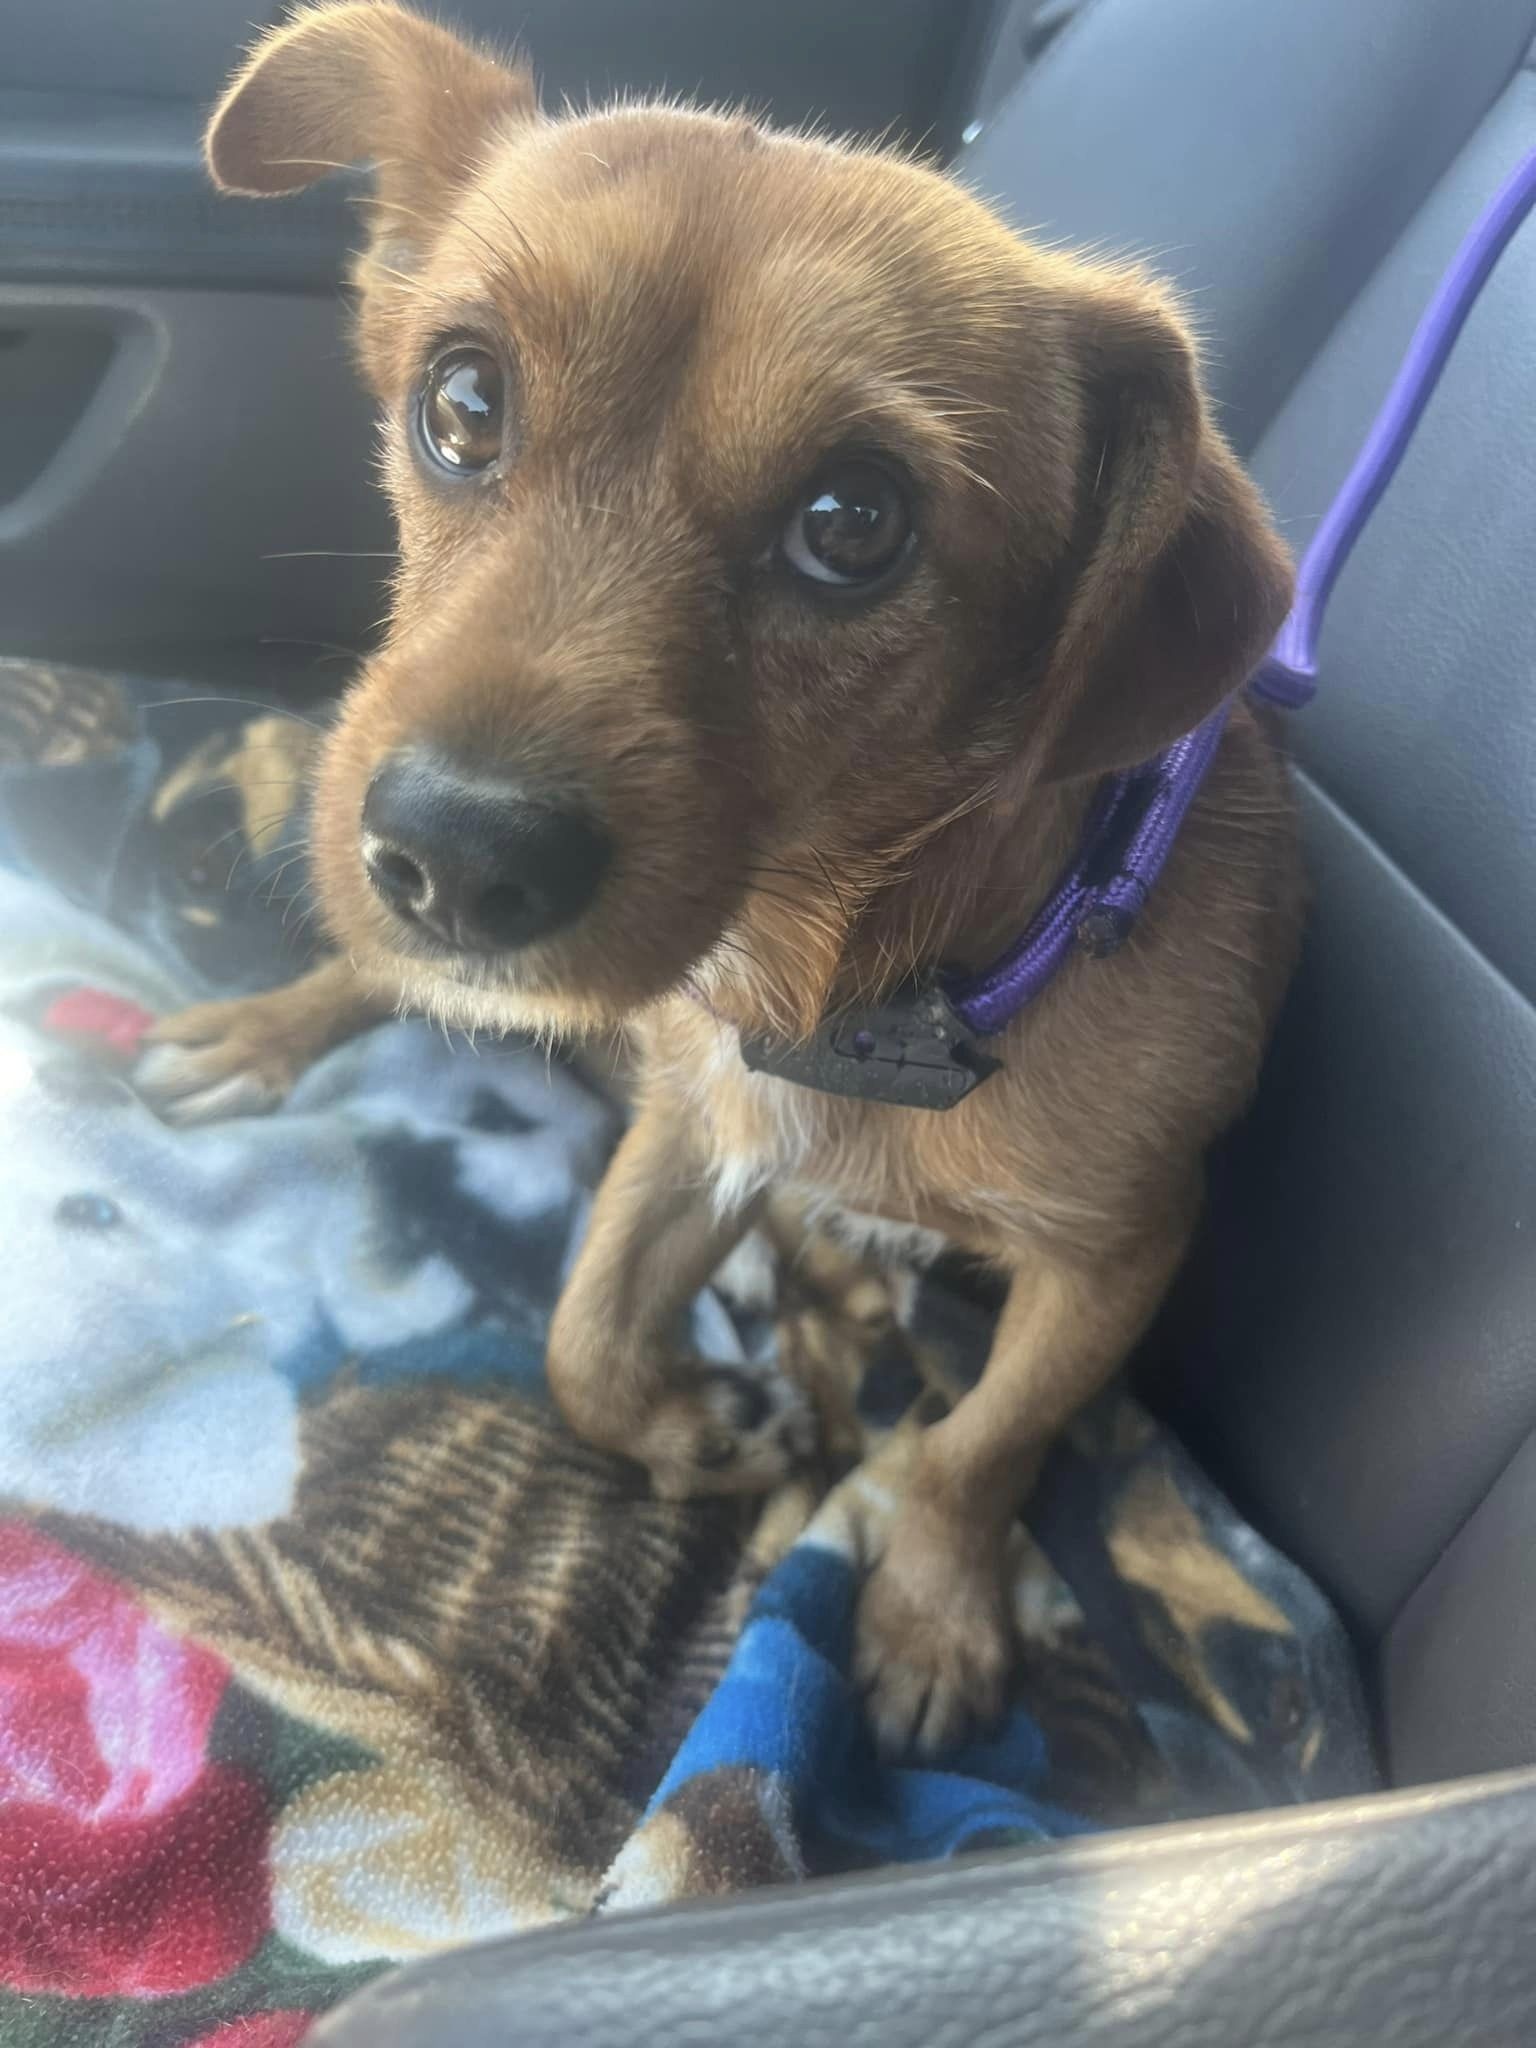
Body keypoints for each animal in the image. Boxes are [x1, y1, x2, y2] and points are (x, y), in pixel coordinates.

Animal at [141, 0, 1302, 1761]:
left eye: (856, 521)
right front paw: (696, 1429)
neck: (857, 988)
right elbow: (582, 1341)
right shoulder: (694, 1128)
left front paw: (932, 1608)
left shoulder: (1118, 1256)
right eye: (461, 402)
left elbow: (982, 1444)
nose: (449, 856)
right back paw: (263, 1030)